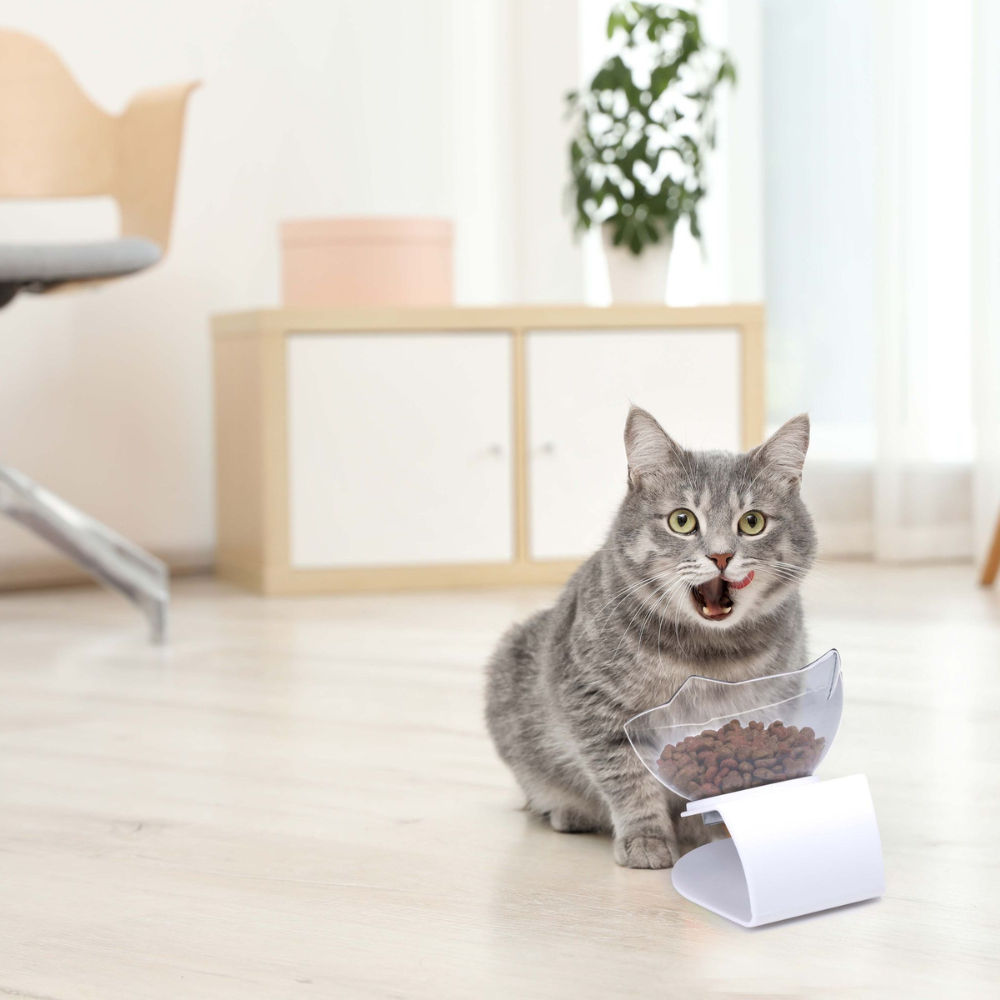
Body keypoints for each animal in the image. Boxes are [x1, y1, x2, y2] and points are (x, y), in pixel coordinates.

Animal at [486, 406, 820, 868]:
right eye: (682, 520)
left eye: (752, 522)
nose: (721, 556)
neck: (708, 653)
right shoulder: (596, 705)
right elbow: (628, 779)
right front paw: (646, 839)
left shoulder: (775, 703)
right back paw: (569, 811)